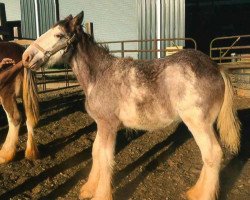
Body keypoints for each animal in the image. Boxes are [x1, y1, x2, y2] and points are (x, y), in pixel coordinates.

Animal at [22, 12, 240, 200]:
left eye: (59, 35)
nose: (26, 57)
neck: (99, 75)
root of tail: (216, 68)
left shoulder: (109, 126)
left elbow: (106, 159)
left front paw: (101, 195)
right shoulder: (101, 125)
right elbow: (96, 153)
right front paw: (88, 189)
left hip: (198, 123)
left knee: (212, 154)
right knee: (208, 156)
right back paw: (194, 192)